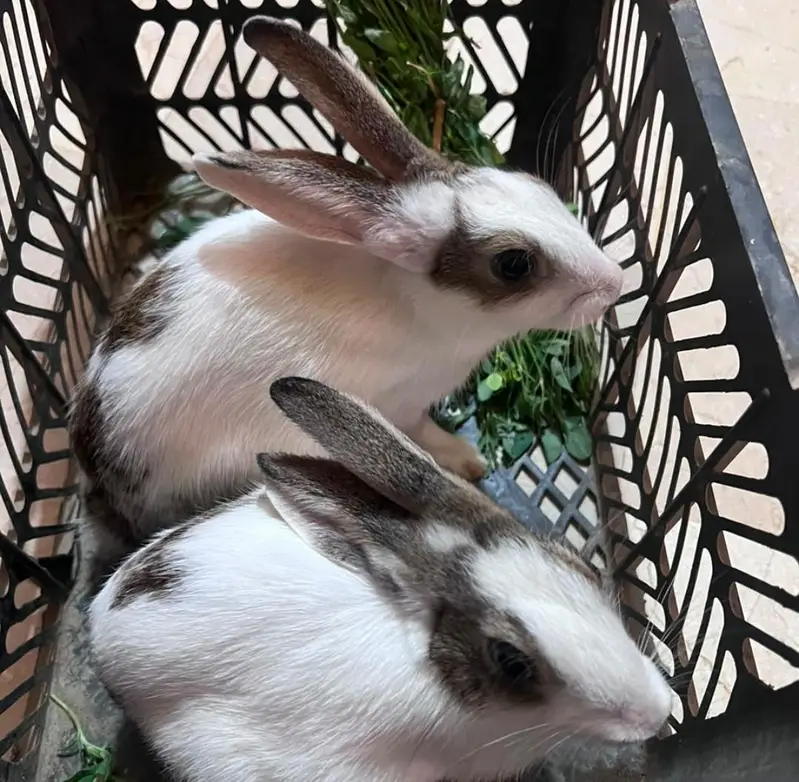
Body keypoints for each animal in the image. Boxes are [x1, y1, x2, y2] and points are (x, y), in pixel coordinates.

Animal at [69, 15, 623, 561]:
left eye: (536, 186)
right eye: (514, 265)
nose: (614, 283)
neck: (422, 301)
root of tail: (103, 486)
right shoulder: (403, 405)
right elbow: (422, 434)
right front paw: (467, 460)